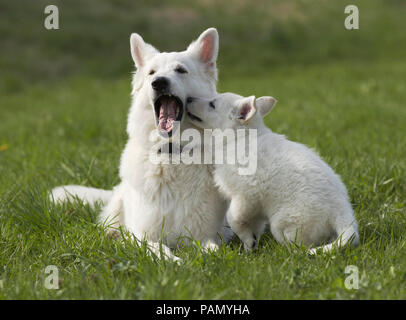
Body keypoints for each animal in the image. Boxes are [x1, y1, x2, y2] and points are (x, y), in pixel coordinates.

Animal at [186, 91, 360, 254]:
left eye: (212, 105)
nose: (188, 98)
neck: (238, 139)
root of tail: (342, 211)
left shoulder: (246, 195)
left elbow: (233, 217)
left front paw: (248, 241)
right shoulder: (254, 205)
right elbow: (253, 225)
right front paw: (250, 246)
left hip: (284, 223)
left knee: (300, 245)